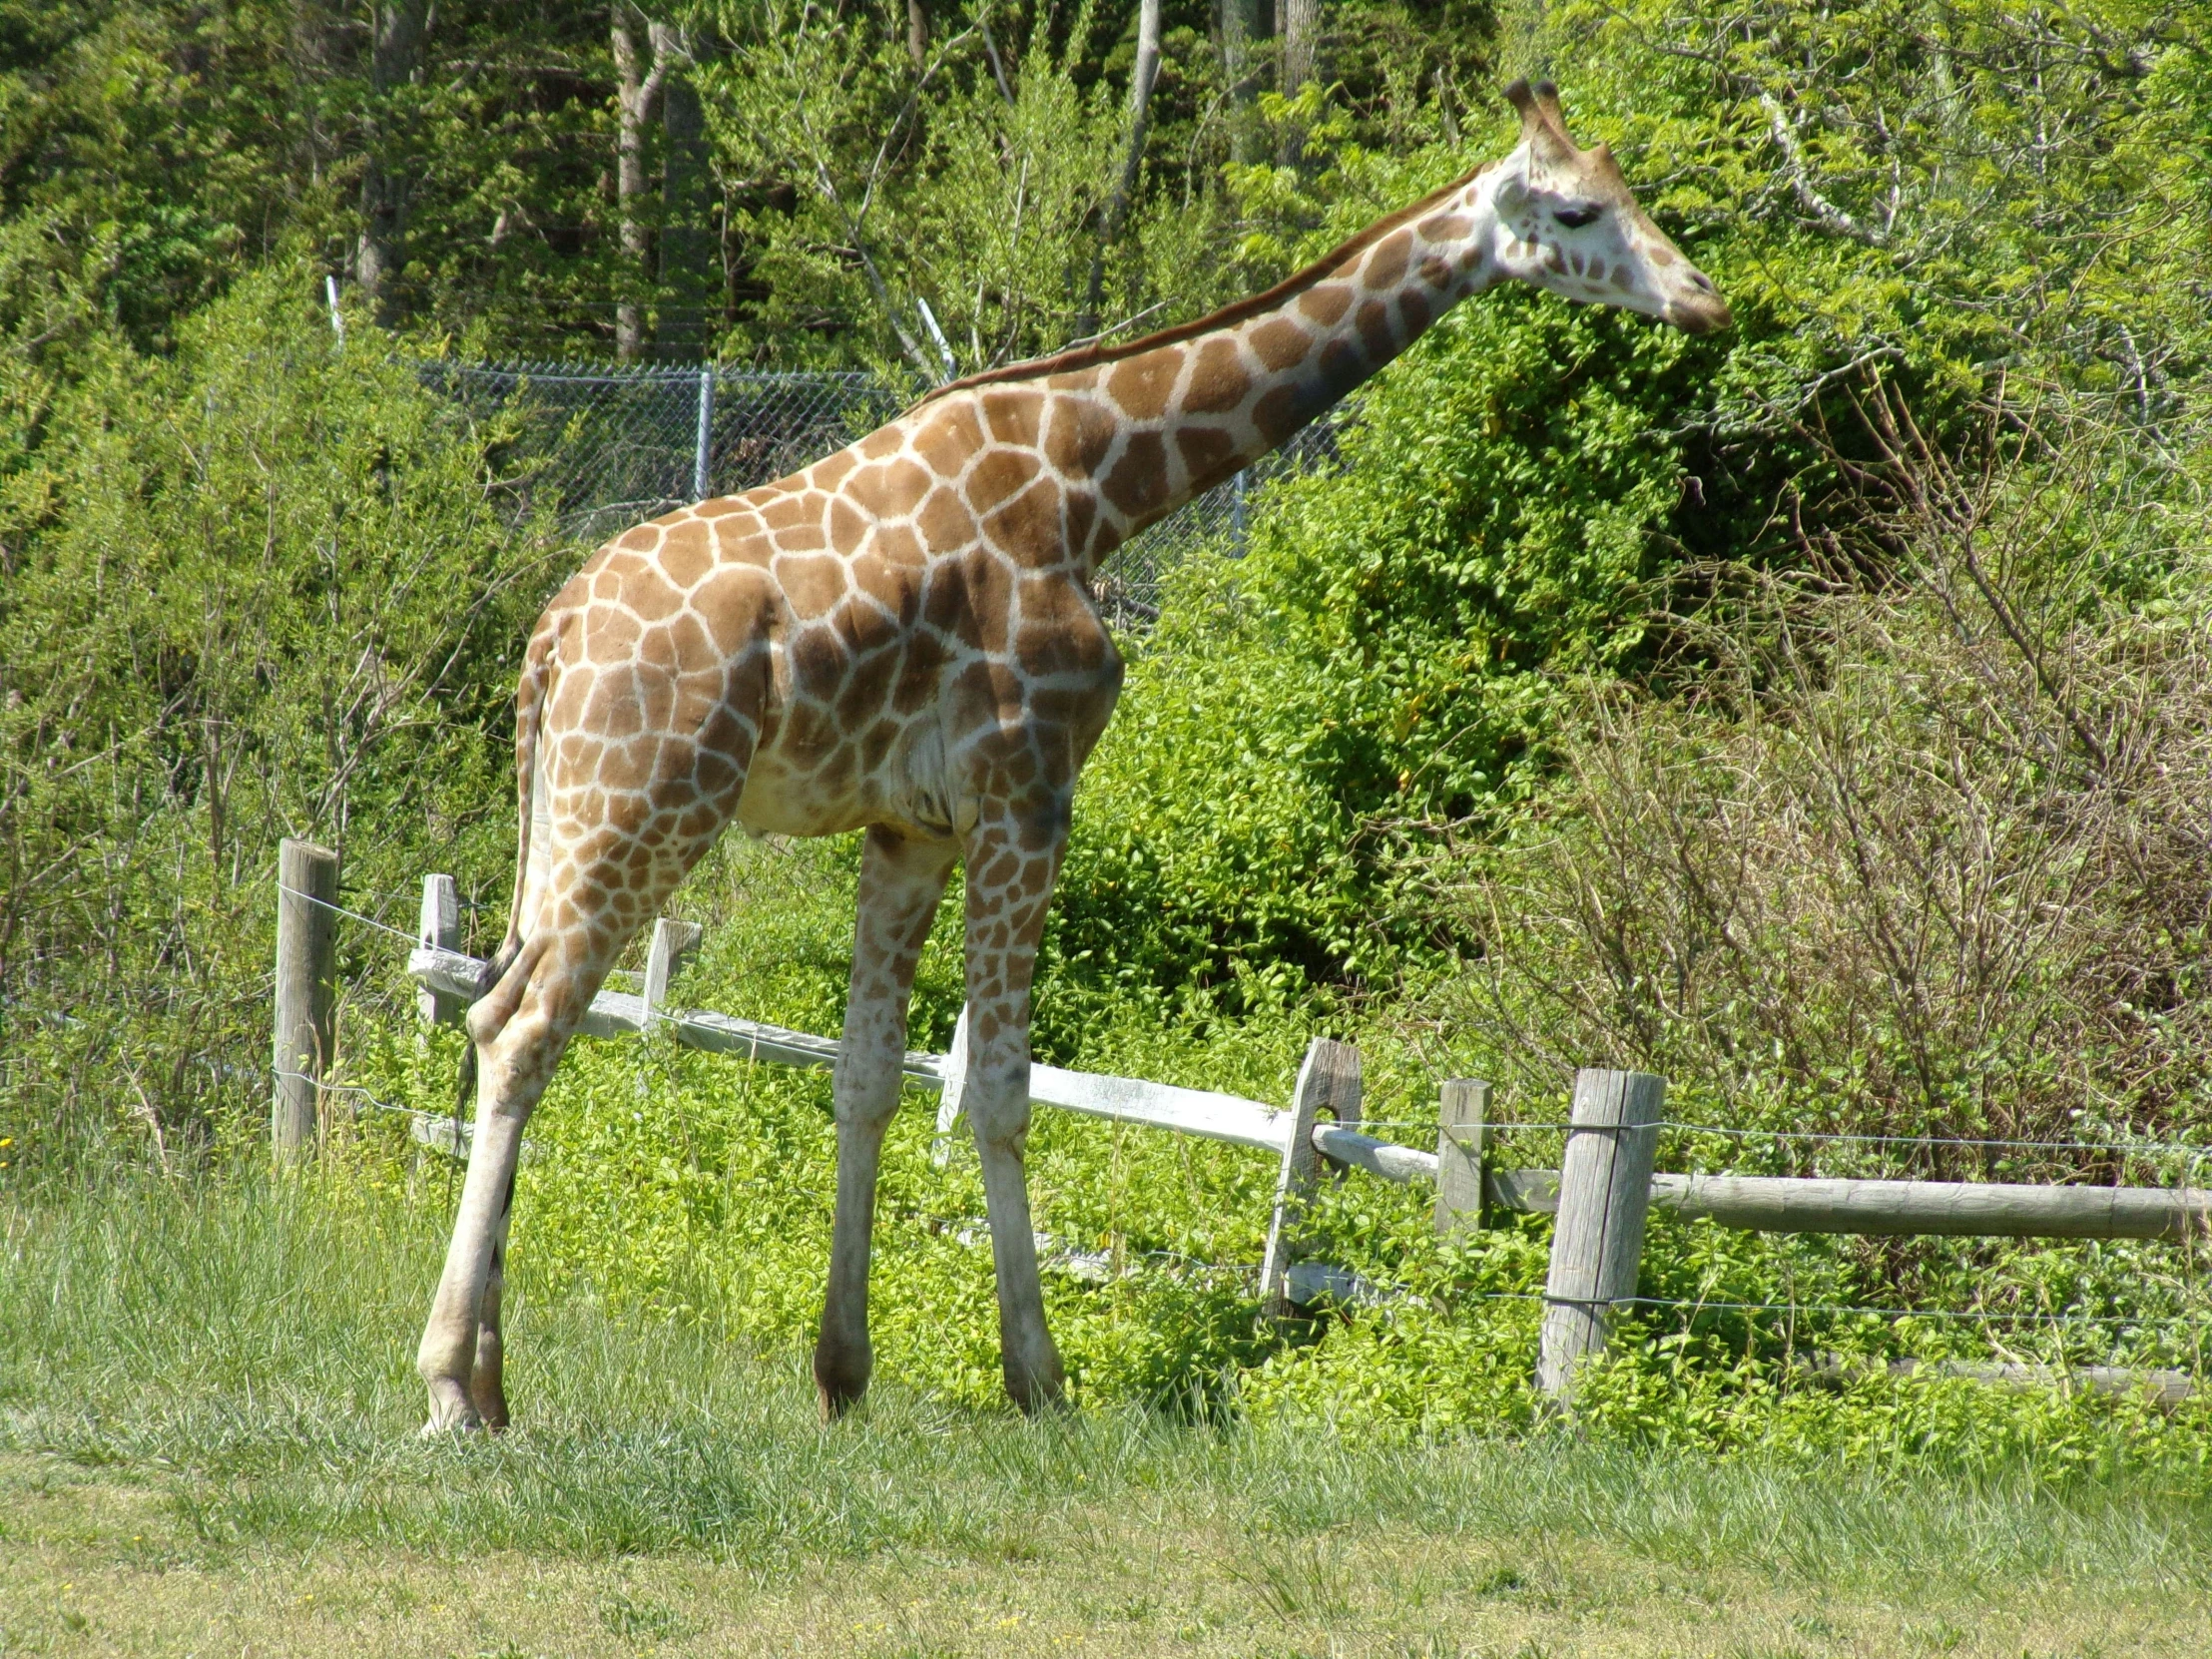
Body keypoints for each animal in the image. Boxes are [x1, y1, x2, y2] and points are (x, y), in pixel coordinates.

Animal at [415, 78, 1725, 1432]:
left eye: (1629, 192)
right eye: (1575, 210)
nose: (1703, 299)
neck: (1101, 481)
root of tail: (551, 639)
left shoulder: (910, 825)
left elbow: (868, 1077)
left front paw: (842, 1375)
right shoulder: (1026, 788)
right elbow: (1000, 1088)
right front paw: (1037, 1380)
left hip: (574, 806)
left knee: (503, 1005)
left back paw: (496, 1382)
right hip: (649, 800)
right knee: (522, 1027)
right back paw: (450, 1383)